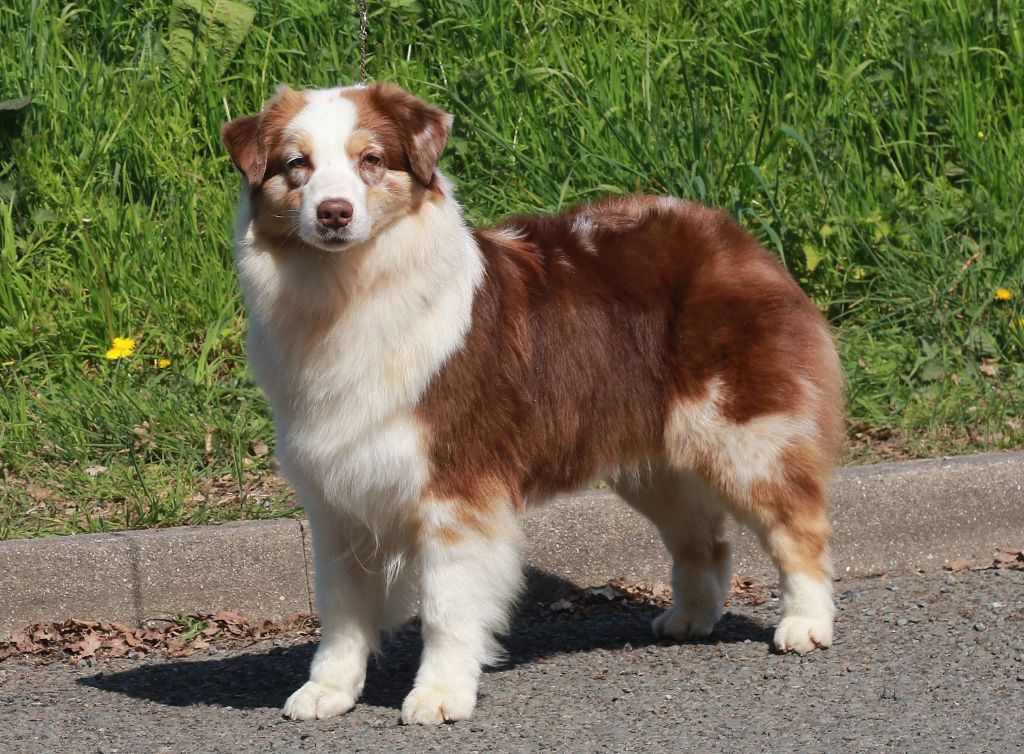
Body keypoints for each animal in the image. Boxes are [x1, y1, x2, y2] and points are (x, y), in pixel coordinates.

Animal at [220, 80, 843, 725]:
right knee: (704, 537)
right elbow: (341, 610)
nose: (334, 212)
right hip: (651, 458)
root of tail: (728, 233)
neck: (347, 292)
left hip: (744, 435)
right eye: (298, 165)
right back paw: (691, 618)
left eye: (370, 159)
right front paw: (329, 690)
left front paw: (440, 694)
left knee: (799, 523)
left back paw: (805, 623)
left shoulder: (456, 487)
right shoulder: (336, 494)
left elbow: (445, 605)